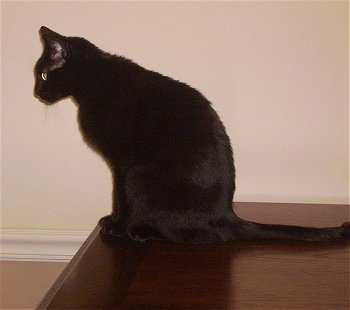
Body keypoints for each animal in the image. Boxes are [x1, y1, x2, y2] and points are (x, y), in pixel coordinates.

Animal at [34, 26, 348, 243]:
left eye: (44, 75)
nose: (36, 93)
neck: (95, 81)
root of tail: (228, 216)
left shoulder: (122, 166)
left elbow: (120, 197)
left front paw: (117, 226)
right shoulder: (118, 167)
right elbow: (115, 197)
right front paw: (111, 219)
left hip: (141, 177)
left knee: (191, 236)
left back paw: (143, 232)